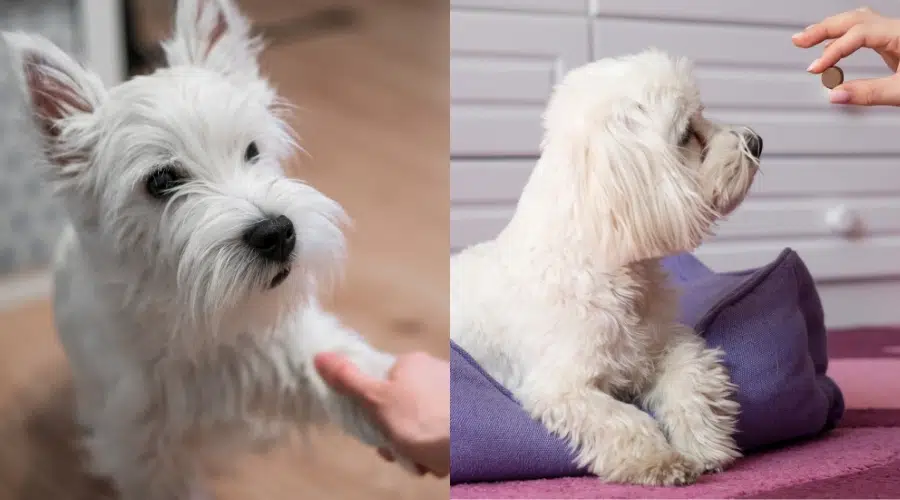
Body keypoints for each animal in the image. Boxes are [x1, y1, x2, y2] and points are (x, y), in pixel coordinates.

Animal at [0, 0, 412, 500]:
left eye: (251, 149)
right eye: (162, 181)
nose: (277, 233)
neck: (202, 318)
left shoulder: (293, 344)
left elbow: (351, 368)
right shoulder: (147, 452)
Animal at [450, 49, 760, 484]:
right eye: (686, 134)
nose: (756, 141)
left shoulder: (666, 344)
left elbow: (690, 377)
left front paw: (702, 443)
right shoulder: (563, 388)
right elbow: (621, 419)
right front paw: (657, 459)